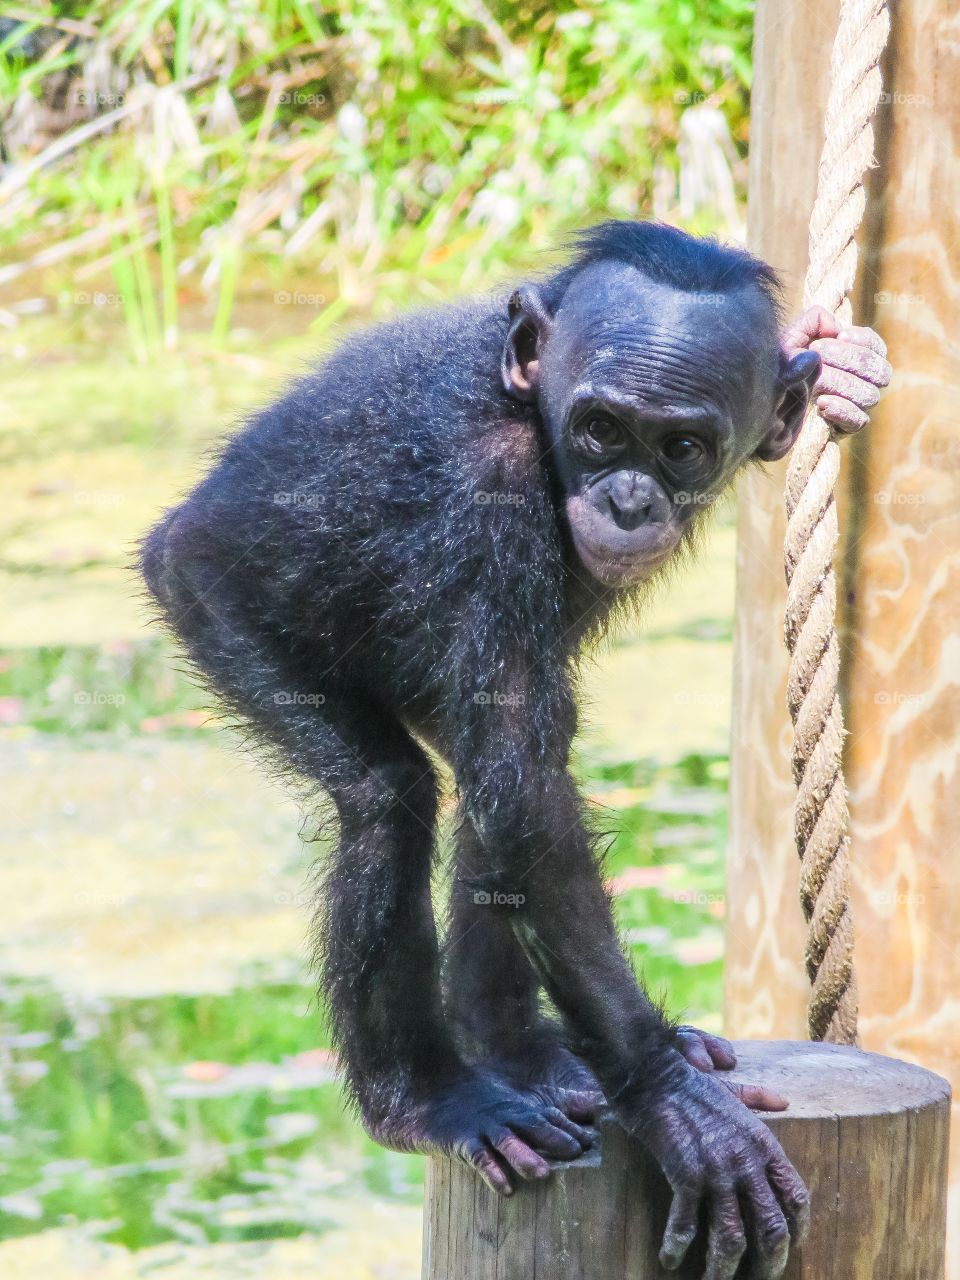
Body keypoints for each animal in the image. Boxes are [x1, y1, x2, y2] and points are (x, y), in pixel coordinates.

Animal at [142, 222, 896, 1280]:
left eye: (682, 447)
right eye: (601, 430)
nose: (628, 498)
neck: (532, 417)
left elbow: (519, 787)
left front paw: (845, 369)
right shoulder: (488, 488)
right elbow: (519, 787)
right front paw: (674, 1102)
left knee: (497, 777)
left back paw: (522, 1055)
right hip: (211, 597)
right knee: (392, 797)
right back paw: (431, 1099)